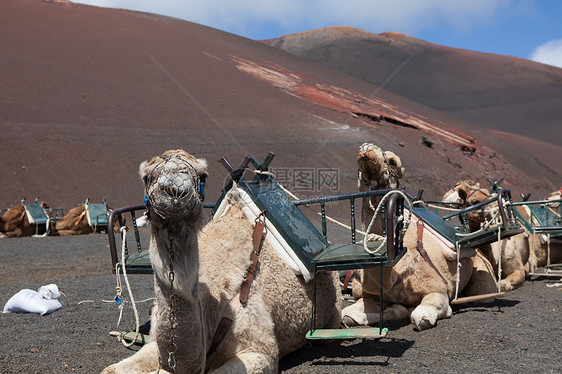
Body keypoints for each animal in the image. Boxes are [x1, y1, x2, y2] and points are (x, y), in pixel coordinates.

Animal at [102, 150, 340, 374]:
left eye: (202, 176)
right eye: (147, 176)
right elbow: (110, 369)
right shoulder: (155, 344)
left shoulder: (259, 350)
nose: (174, 190)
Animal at [340, 143, 496, 330]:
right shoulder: (368, 296)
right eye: (359, 151)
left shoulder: (438, 290)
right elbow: (347, 314)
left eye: (392, 161)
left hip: (483, 271)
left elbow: (421, 315)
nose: (367, 149)